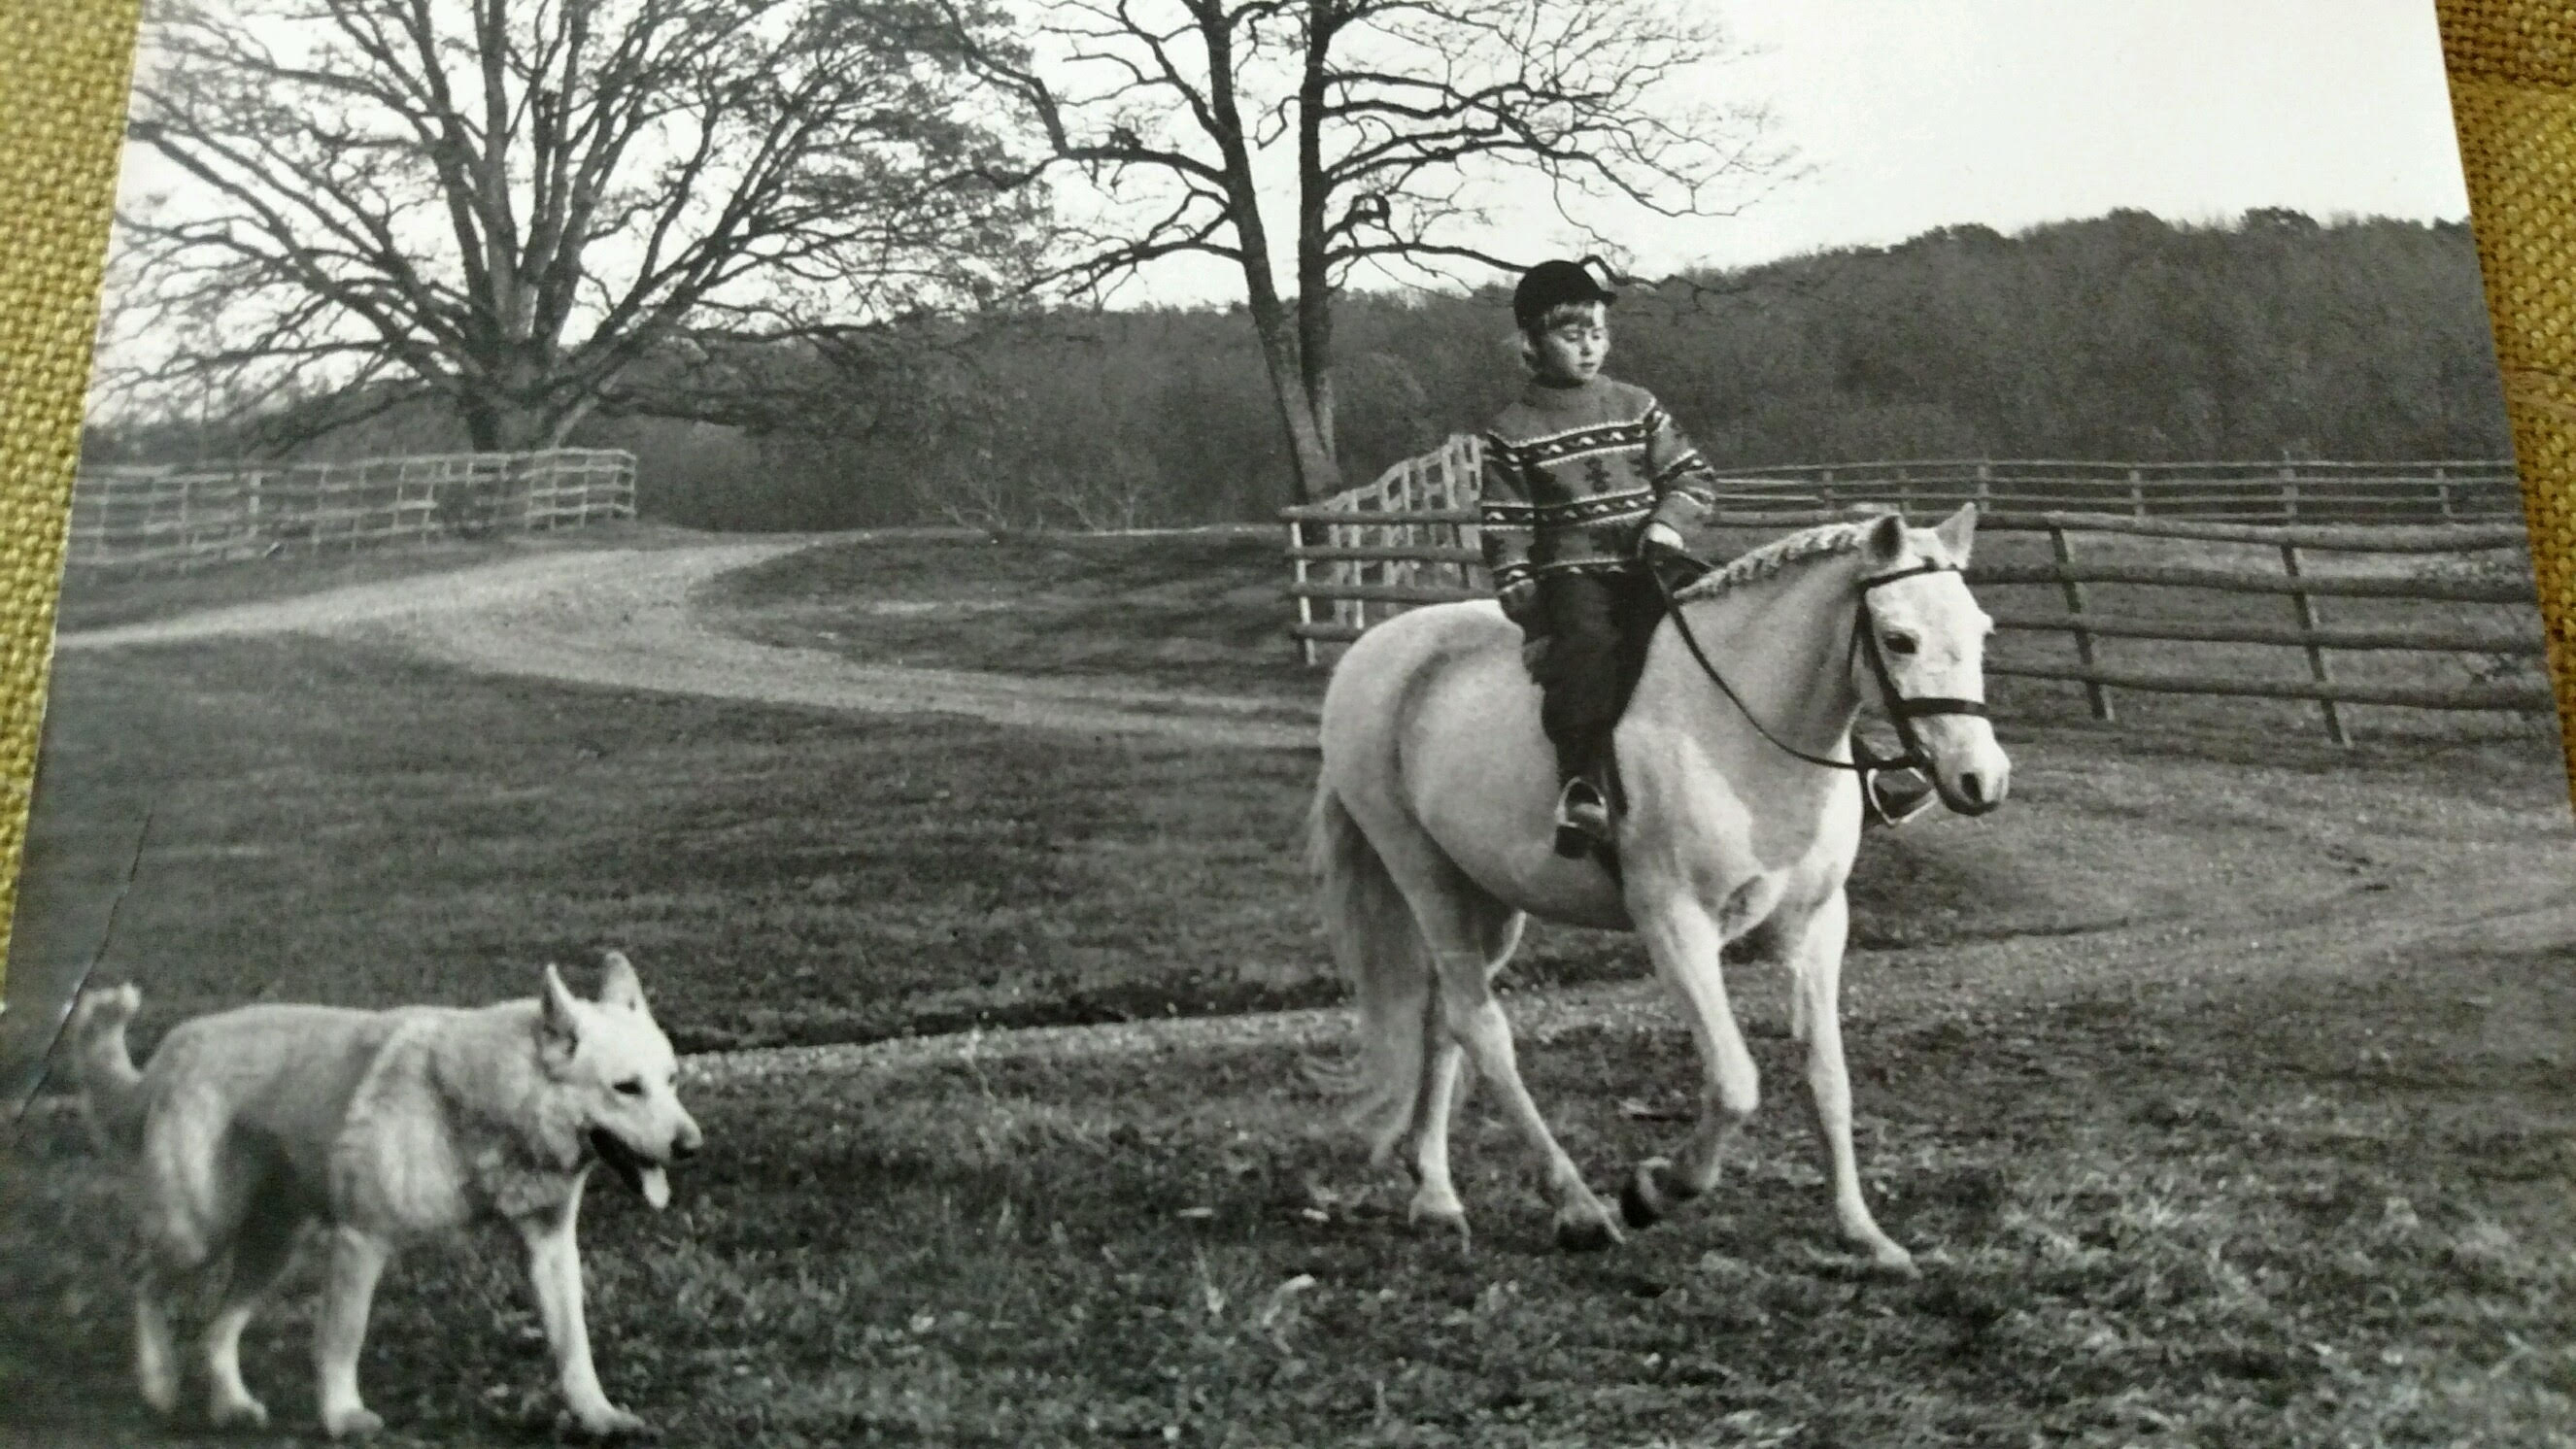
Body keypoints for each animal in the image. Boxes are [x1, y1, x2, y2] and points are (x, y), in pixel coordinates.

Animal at [69, 952, 700, 1441]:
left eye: (671, 1080)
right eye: (626, 1088)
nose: (693, 1146)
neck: (493, 1104)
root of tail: (171, 1052)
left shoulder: (550, 1251)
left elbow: (574, 1348)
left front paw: (598, 1416)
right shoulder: (361, 1241)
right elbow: (342, 1338)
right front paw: (342, 1417)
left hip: (273, 1251)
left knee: (216, 1328)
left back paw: (232, 1406)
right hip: (197, 1233)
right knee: (143, 1281)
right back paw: (158, 1384)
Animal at [1308, 507, 2009, 1271]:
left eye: (1981, 631)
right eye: (1899, 639)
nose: (1982, 779)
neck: (1740, 725)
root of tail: (1374, 649)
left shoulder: (1817, 925)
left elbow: (1828, 1078)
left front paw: (1862, 1233)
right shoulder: (1676, 924)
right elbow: (1735, 1084)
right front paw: (1653, 1189)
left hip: (1486, 899)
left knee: (1442, 1021)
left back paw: (1436, 1193)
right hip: (1423, 874)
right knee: (1479, 1026)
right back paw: (1576, 1209)